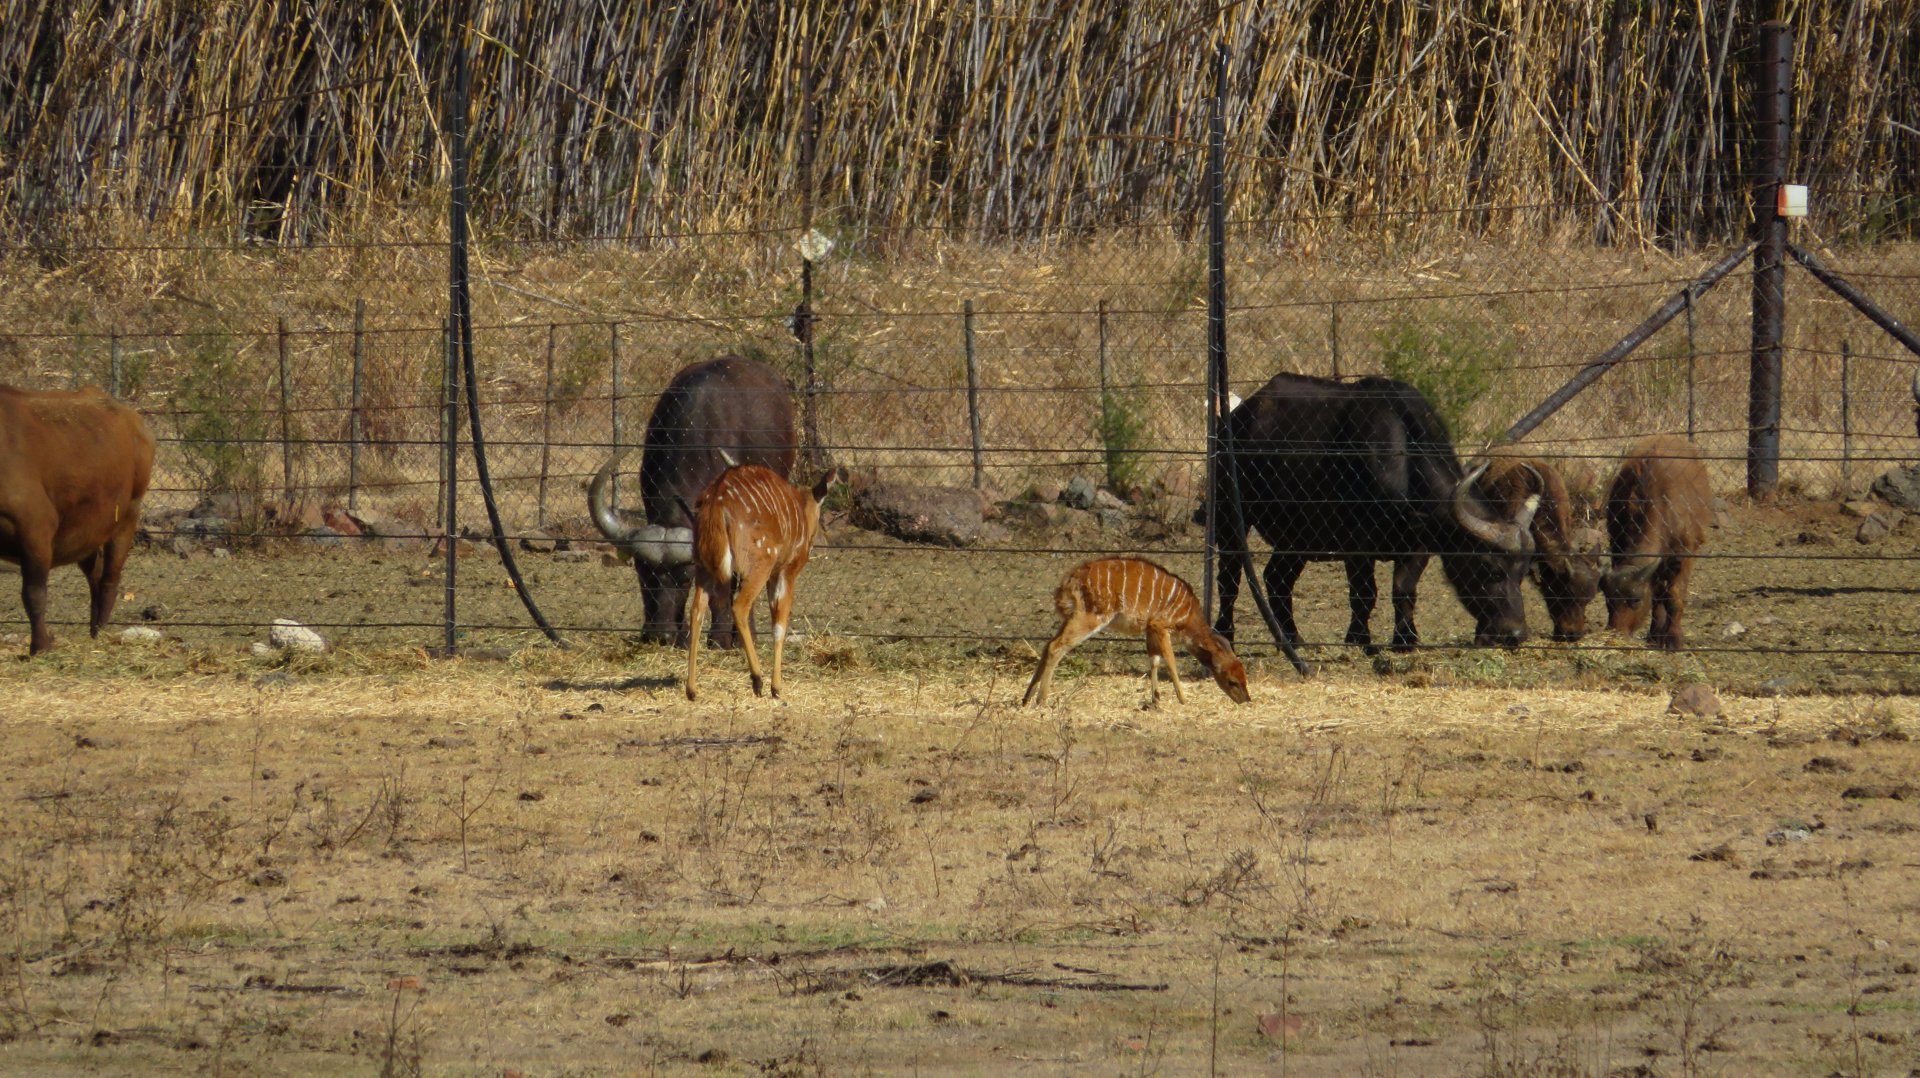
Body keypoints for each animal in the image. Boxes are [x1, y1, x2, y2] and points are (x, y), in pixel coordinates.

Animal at [0, 386, 155, 655]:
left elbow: (34, 595)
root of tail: (134, 420)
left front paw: (40, 646)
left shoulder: (35, 530)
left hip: (126, 518)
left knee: (110, 579)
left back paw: (100, 632)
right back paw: (93, 630)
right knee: (96, 575)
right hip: (87, 533)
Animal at [1211, 373, 1540, 652]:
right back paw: (1226, 634)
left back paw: (1293, 639)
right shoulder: (1356, 544)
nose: (1515, 634)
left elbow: (1404, 591)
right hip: (1231, 514)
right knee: (1229, 579)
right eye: (1491, 569)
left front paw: (1405, 639)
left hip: (1297, 534)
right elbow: (1364, 593)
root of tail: (1239, 416)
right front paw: (1358, 639)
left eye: (1522, 573)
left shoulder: (1419, 544)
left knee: (1277, 578)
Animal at [1601, 435, 1712, 650]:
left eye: (1635, 600)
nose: (1616, 633)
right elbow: (1657, 595)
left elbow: (1674, 596)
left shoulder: (1684, 557)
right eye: (1609, 600)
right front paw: (1655, 634)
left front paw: (1674, 638)